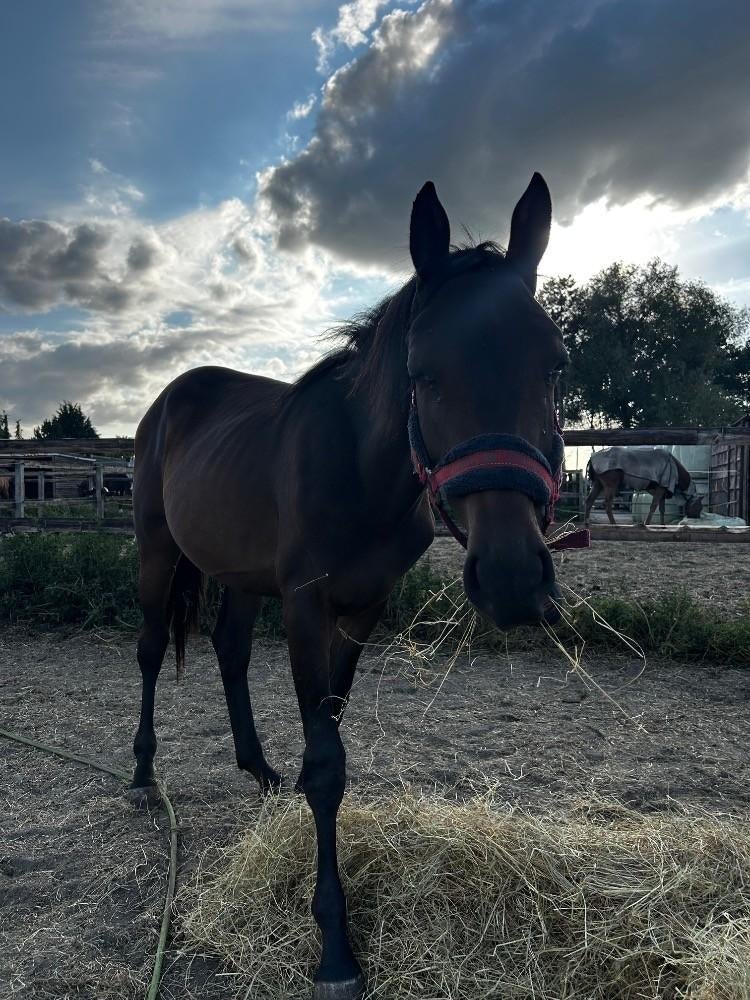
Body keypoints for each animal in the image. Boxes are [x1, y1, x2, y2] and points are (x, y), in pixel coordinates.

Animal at [131, 173, 569, 999]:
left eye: (555, 364)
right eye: (423, 372)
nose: (512, 577)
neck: (364, 469)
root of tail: (169, 398)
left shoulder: (361, 609)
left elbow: (327, 742)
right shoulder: (307, 606)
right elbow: (327, 767)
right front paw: (334, 947)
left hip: (241, 574)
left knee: (229, 651)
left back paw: (258, 769)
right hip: (157, 547)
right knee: (147, 650)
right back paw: (141, 771)